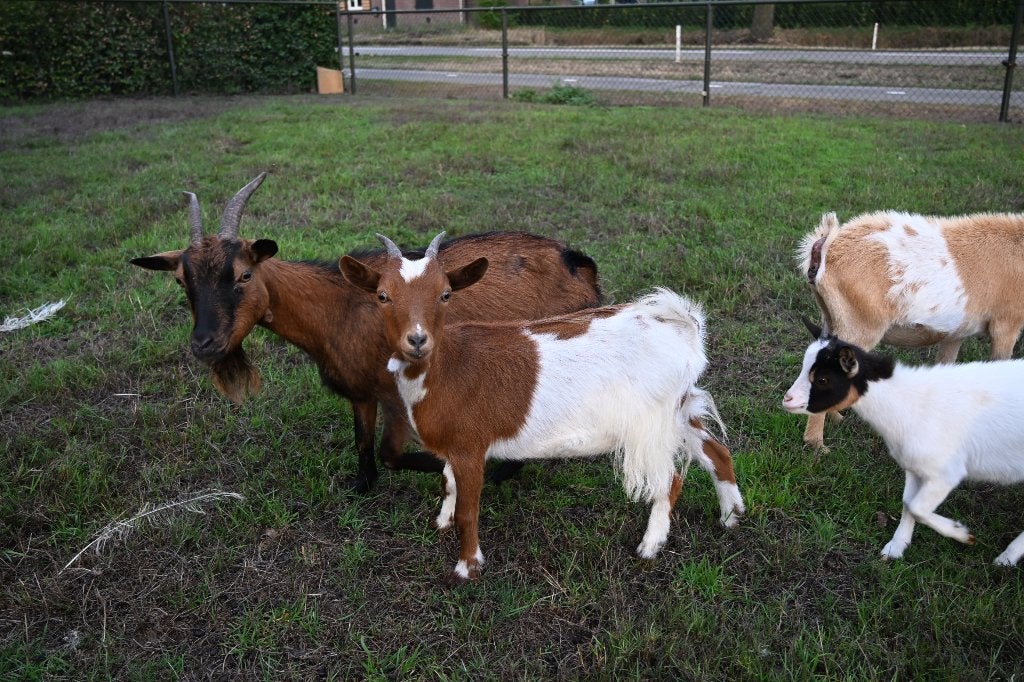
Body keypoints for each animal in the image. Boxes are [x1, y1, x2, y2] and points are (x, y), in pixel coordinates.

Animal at [130, 173, 602, 492]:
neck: (336, 308)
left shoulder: (398, 395)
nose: (204, 344)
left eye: (244, 274)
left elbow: (391, 454)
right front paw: (362, 485)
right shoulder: (360, 391)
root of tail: (578, 261)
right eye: (181, 280)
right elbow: (362, 445)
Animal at [339, 231, 745, 581]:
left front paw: (467, 567)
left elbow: (470, 509)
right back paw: (732, 515)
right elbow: (448, 482)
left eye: (445, 294)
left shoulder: (471, 446)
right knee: (716, 451)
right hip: (680, 406)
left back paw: (650, 545)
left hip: (651, 426)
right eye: (382, 296)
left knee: (670, 478)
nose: (417, 340)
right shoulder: (455, 447)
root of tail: (682, 327)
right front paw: (442, 521)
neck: (448, 366)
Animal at [783, 319, 1024, 566]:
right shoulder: (915, 467)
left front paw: (962, 534)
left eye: (823, 379)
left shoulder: (945, 472)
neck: (907, 402)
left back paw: (1007, 557)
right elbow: (908, 503)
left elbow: (917, 507)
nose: (787, 399)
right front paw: (895, 548)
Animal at [796, 210, 1024, 450]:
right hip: (858, 328)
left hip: (831, 319)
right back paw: (817, 445)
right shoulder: (1007, 325)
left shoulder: (956, 333)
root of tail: (825, 246)